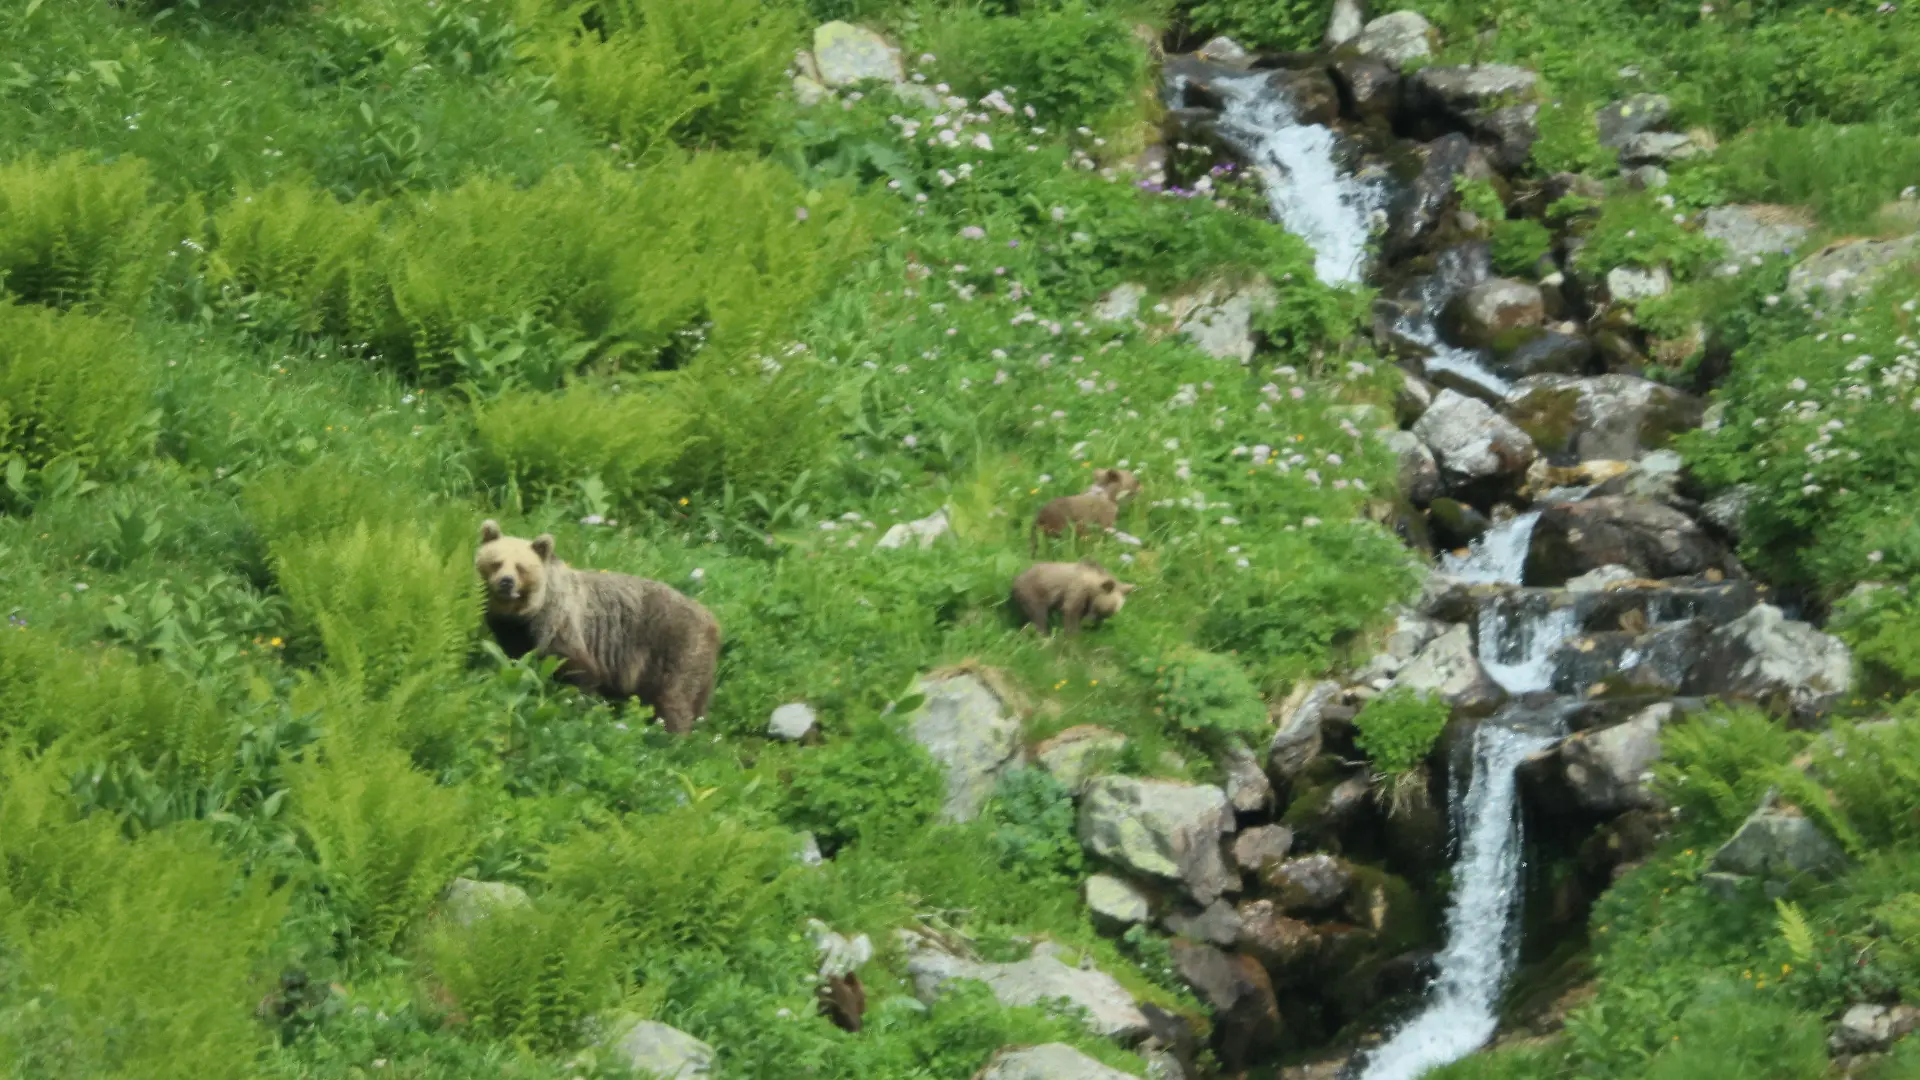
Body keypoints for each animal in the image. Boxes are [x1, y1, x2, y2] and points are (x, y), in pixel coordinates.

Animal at [474, 520, 720, 734]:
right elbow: (516, 660)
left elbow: (578, 670)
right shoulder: (511, 632)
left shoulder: (561, 625)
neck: (527, 612)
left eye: (521, 567)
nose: (506, 582)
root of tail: (712, 621)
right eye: (496, 562)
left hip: (676, 649)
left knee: (675, 697)